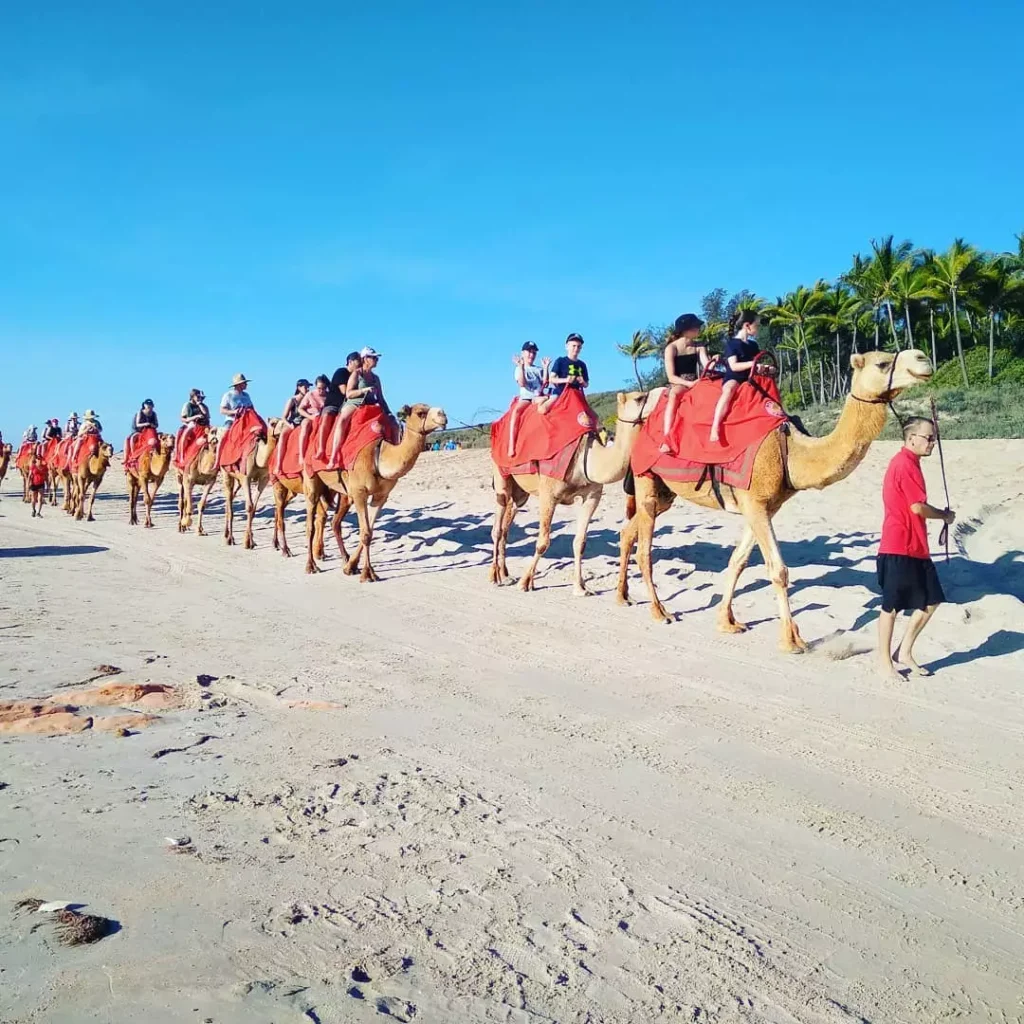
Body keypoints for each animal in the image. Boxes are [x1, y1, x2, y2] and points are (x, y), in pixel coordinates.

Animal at [220, 419, 276, 548]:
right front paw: (247, 542)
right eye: (273, 423)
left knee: (230, 499)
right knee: (229, 499)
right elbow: (249, 506)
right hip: (226, 472)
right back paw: (230, 538)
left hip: (238, 479)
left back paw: (226, 534)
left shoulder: (264, 479)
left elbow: (254, 507)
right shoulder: (246, 477)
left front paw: (251, 540)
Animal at [303, 403, 448, 581]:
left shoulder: (381, 496)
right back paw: (311, 566)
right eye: (420, 413)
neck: (378, 457)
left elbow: (369, 532)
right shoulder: (360, 492)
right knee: (310, 523)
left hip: (343, 492)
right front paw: (367, 574)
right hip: (311, 478)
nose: (443, 415)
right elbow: (365, 533)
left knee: (335, 522)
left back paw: (344, 558)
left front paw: (351, 567)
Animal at [489, 391, 663, 598]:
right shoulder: (548, 494)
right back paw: (495, 576)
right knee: (498, 524)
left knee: (508, 520)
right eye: (639, 398)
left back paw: (505, 573)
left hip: (520, 493)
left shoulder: (592, 496)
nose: (665, 392)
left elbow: (580, 542)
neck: (586, 459)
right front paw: (525, 582)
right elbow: (543, 542)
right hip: (501, 472)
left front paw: (580, 588)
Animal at [614, 348, 937, 651]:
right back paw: (659, 611)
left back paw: (622, 596)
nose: (923, 358)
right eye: (882, 363)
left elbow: (738, 561)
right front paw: (792, 640)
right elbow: (779, 570)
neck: (792, 450)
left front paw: (727, 622)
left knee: (628, 531)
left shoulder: (763, 506)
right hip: (645, 477)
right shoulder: (754, 502)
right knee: (645, 549)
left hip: (665, 492)